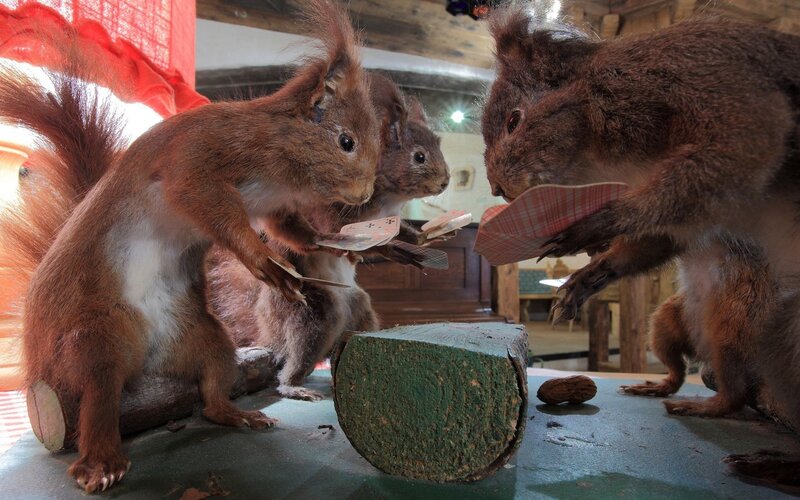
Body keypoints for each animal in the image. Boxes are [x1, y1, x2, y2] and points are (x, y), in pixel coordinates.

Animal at [0, 0, 379, 492]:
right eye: (346, 141)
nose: (366, 193)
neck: (280, 160)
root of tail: (145, 362)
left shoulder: (276, 204)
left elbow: (290, 230)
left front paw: (329, 242)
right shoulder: (198, 157)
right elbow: (206, 202)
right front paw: (264, 261)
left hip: (202, 336)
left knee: (212, 386)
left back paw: (236, 415)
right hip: (94, 336)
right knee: (98, 396)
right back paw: (100, 462)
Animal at [206, 72, 450, 401]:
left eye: (438, 144)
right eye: (419, 157)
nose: (446, 181)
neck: (390, 197)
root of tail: (266, 327)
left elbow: (396, 236)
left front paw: (420, 241)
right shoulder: (330, 211)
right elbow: (344, 235)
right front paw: (382, 250)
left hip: (360, 310)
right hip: (314, 315)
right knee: (293, 359)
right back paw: (295, 386)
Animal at [483, 6, 800, 487]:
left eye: (514, 120)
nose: (497, 190)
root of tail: (707, 350)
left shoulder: (713, 85)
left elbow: (736, 152)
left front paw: (596, 223)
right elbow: (654, 240)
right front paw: (583, 280)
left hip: (747, 329)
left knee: (736, 393)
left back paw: (755, 447)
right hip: (666, 323)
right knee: (682, 368)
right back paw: (659, 386)